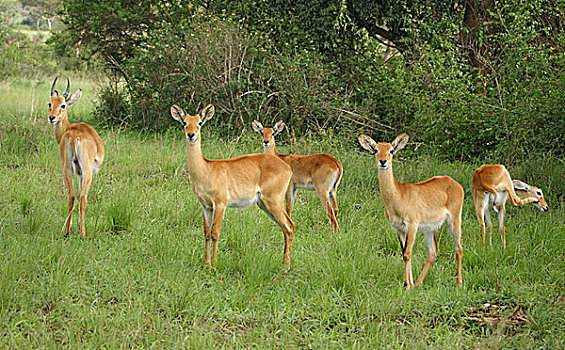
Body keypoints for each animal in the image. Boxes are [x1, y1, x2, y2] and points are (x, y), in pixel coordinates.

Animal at [47, 77, 104, 239]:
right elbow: (80, 195)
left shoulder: (76, 173)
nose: (52, 117)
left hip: (67, 169)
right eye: (50, 103)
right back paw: (82, 234)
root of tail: (74, 135)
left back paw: (67, 231)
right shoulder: (82, 173)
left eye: (63, 104)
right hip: (86, 172)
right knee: (82, 197)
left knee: (71, 196)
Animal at [170, 104, 296, 270]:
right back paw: (284, 264)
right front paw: (206, 265)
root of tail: (287, 167)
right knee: (285, 228)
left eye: (199, 123)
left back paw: (285, 267)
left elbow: (215, 232)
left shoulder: (220, 204)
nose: (191, 135)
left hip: (273, 201)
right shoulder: (206, 206)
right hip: (264, 204)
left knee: (289, 226)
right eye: (184, 122)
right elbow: (206, 233)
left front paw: (214, 265)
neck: (206, 170)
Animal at [356, 133, 462, 288]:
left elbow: (407, 253)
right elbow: (404, 252)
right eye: (375, 150)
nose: (383, 161)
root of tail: (454, 182)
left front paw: (406, 285)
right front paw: (409, 283)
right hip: (429, 229)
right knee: (433, 252)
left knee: (458, 248)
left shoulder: (412, 225)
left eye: (391, 150)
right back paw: (418, 283)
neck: (398, 197)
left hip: (454, 220)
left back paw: (459, 283)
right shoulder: (398, 228)